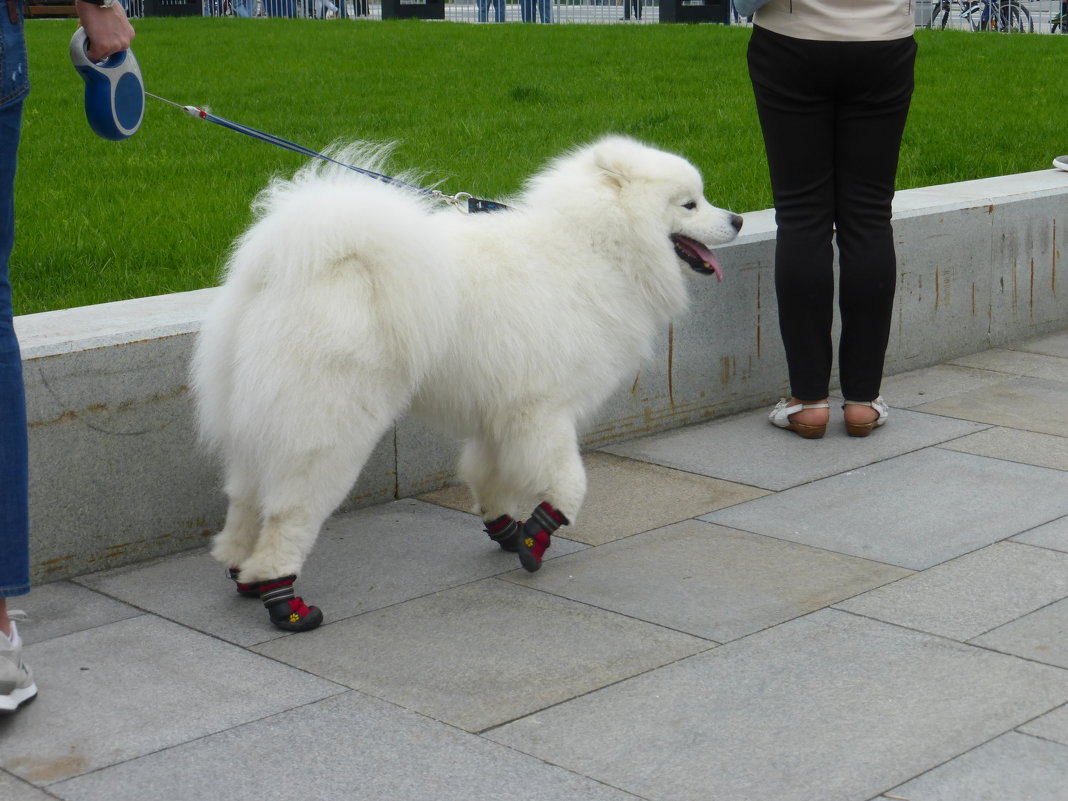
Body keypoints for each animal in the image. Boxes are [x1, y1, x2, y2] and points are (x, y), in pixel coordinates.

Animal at [192, 135, 743, 632]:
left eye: (703, 198)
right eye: (690, 204)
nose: (738, 219)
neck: (598, 249)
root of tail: (292, 271)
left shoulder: (501, 411)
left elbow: (488, 475)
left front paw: (507, 528)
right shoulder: (542, 411)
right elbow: (570, 485)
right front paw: (537, 536)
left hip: (260, 414)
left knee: (245, 496)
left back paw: (242, 570)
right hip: (328, 429)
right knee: (289, 511)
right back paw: (283, 599)